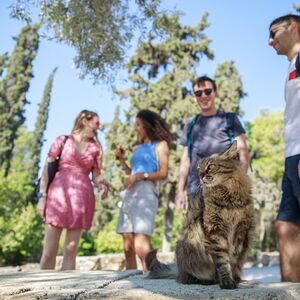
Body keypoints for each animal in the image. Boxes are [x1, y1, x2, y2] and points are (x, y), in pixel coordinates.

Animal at [146, 142, 254, 288]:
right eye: (199, 169)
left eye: (210, 167)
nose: (200, 176)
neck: (228, 196)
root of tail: (179, 270)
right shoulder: (215, 230)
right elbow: (223, 261)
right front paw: (226, 281)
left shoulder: (242, 230)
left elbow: (235, 259)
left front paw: (234, 279)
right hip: (186, 248)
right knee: (186, 278)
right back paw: (206, 280)